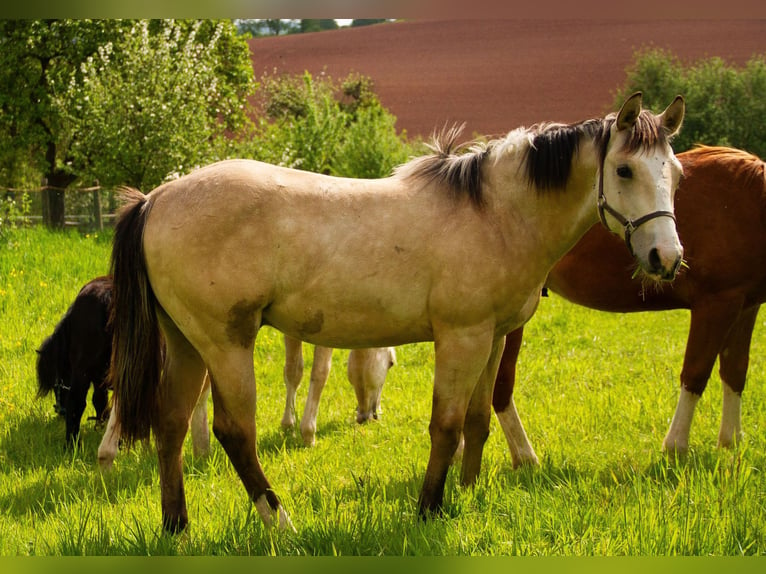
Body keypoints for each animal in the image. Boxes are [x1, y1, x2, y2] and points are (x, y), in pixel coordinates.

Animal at [106, 92, 684, 532]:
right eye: (624, 169)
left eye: (675, 173)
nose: (667, 257)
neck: (495, 212)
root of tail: (155, 199)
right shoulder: (462, 337)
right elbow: (446, 426)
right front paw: (429, 509)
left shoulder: (493, 338)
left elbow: (477, 421)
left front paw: (467, 494)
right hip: (226, 344)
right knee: (234, 432)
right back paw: (281, 523)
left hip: (186, 343)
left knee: (171, 424)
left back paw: (176, 525)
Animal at [492, 146, 766, 470]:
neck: (748, 202)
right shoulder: (716, 305)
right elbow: (695, 373)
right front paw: (676, 447)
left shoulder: (744, 306)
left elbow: (735, 370)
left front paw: (730, 442)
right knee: (499, 386)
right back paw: (524, 456)